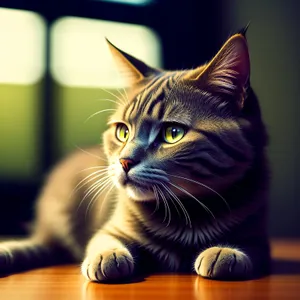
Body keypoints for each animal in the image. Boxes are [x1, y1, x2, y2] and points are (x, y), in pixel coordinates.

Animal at [0, 28, 270, 282]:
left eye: (173, 133)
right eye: (123, 131)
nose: (124, 161)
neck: (186, 214)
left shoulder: (258, 238)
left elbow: (251, 247)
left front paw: (225, 252)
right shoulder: (111, 228)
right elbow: (103, 240)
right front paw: (107, 257)